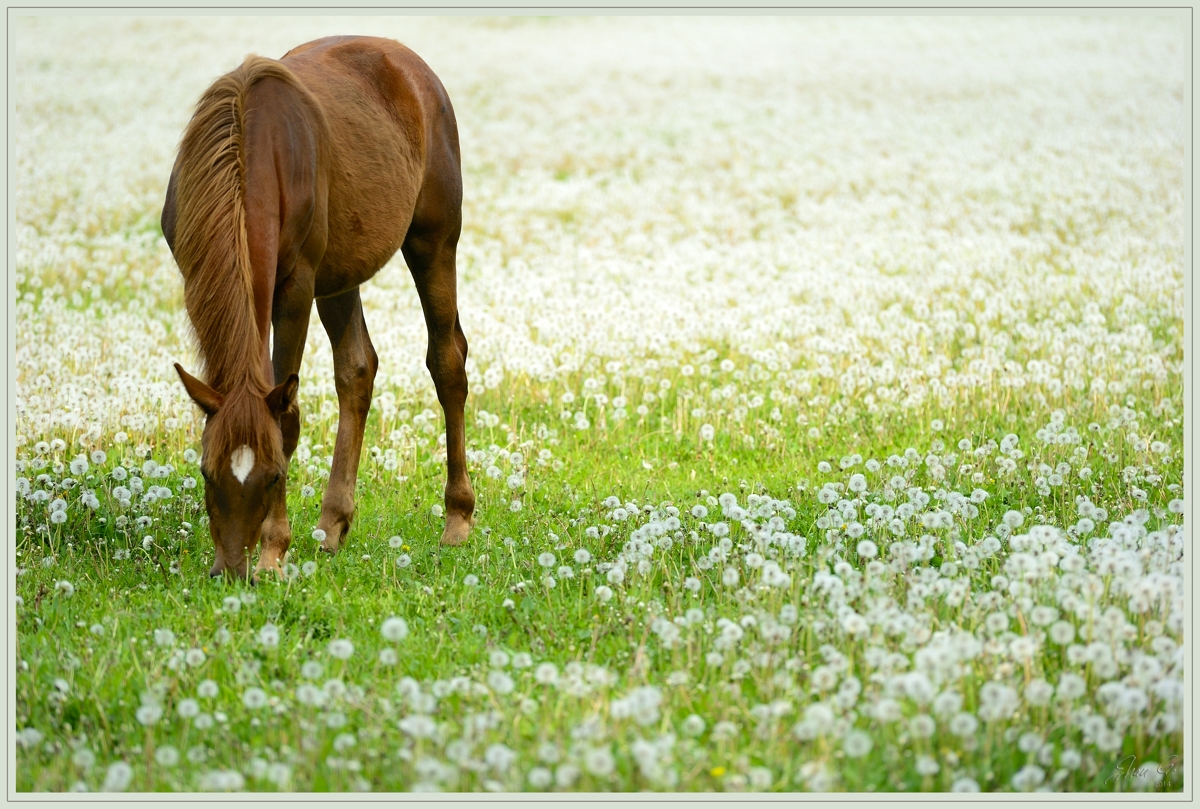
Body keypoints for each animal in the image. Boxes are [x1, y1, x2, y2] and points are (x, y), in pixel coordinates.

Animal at [160, 36, 477, 580]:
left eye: (273, 476)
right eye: (205, 471)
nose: (231, 570)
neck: (248, 149)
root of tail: (412, 67)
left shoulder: (295, 288)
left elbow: (286, 416)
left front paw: (273, 551)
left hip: (432, 242)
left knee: (447, 362)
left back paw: (457, 519)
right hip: (340, 275)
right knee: (357, 369)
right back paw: (331, 526)